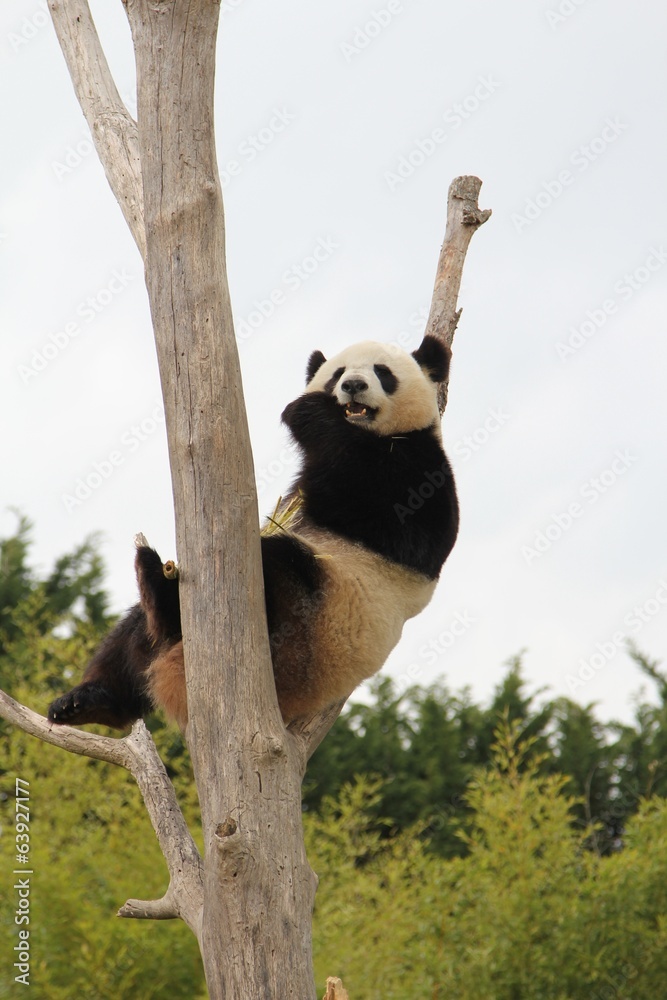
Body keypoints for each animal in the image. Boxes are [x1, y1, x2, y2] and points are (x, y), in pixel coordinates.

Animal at [48, 335, 459, 731]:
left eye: (382, 372)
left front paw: (308, 412)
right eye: (337, 373)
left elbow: (401, 524)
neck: (376, 434)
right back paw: (91, 701)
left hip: (315, 633)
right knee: (132, 634)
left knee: (276, 564)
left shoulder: (421, 467)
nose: (353, 385)